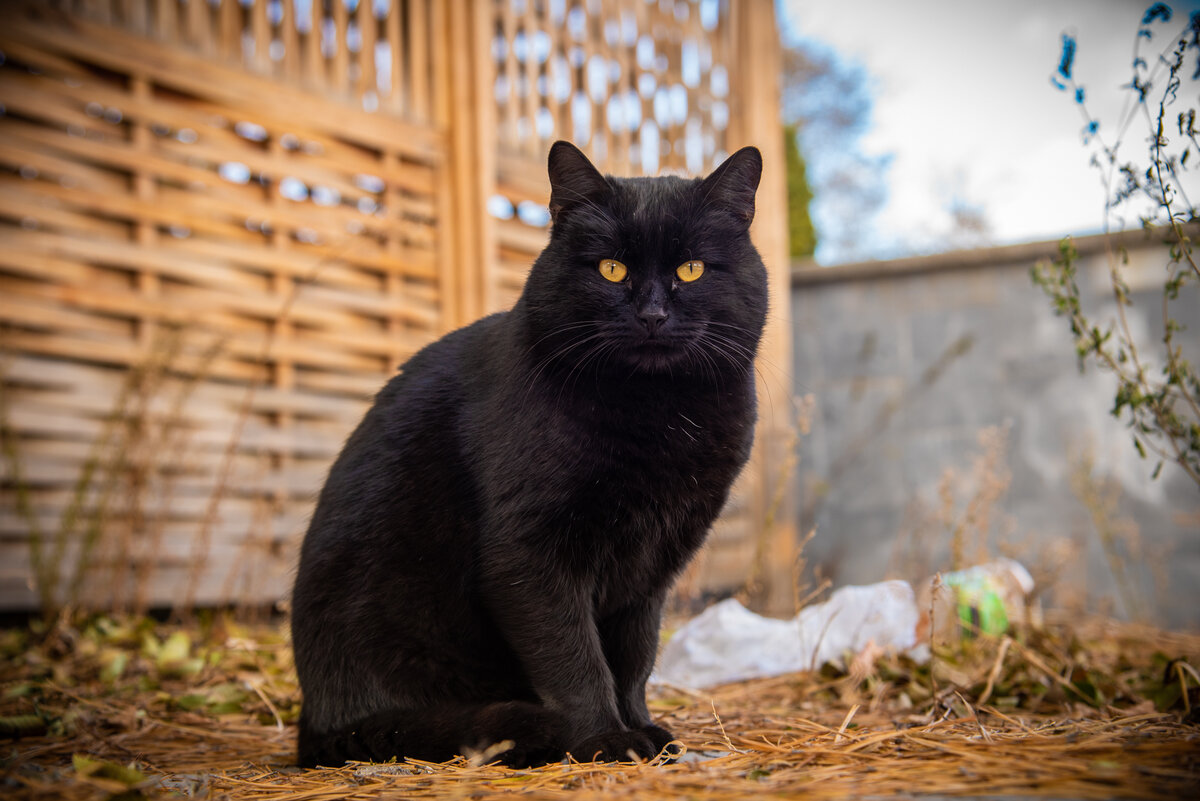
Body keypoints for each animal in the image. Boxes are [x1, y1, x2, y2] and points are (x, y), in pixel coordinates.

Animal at [290, 142, 768, 767]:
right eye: (611, 269)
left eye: (691, 269)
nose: (652, 315)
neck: (657, 413)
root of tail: (313, 722)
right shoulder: (530, 556)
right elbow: (575, 658)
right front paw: (604, 739)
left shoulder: (652, 567)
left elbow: (634, 656)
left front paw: (642, 728)